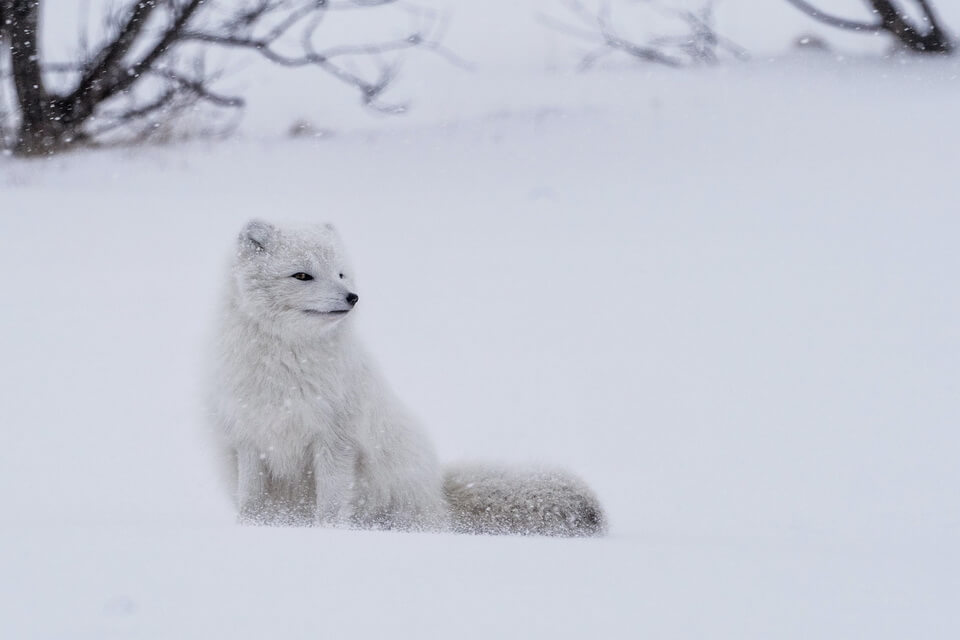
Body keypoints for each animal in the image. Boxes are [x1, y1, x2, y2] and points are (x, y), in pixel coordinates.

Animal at [213, 220, 604, 536]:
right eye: (302, 275)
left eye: (340, 274)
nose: (353, 297)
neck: (286, 362)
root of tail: (440, 495)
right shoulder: (250, 437)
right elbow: (251, 500)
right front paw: (253, 529)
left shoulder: (335, 440)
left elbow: (331, 503)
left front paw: (328, 534)